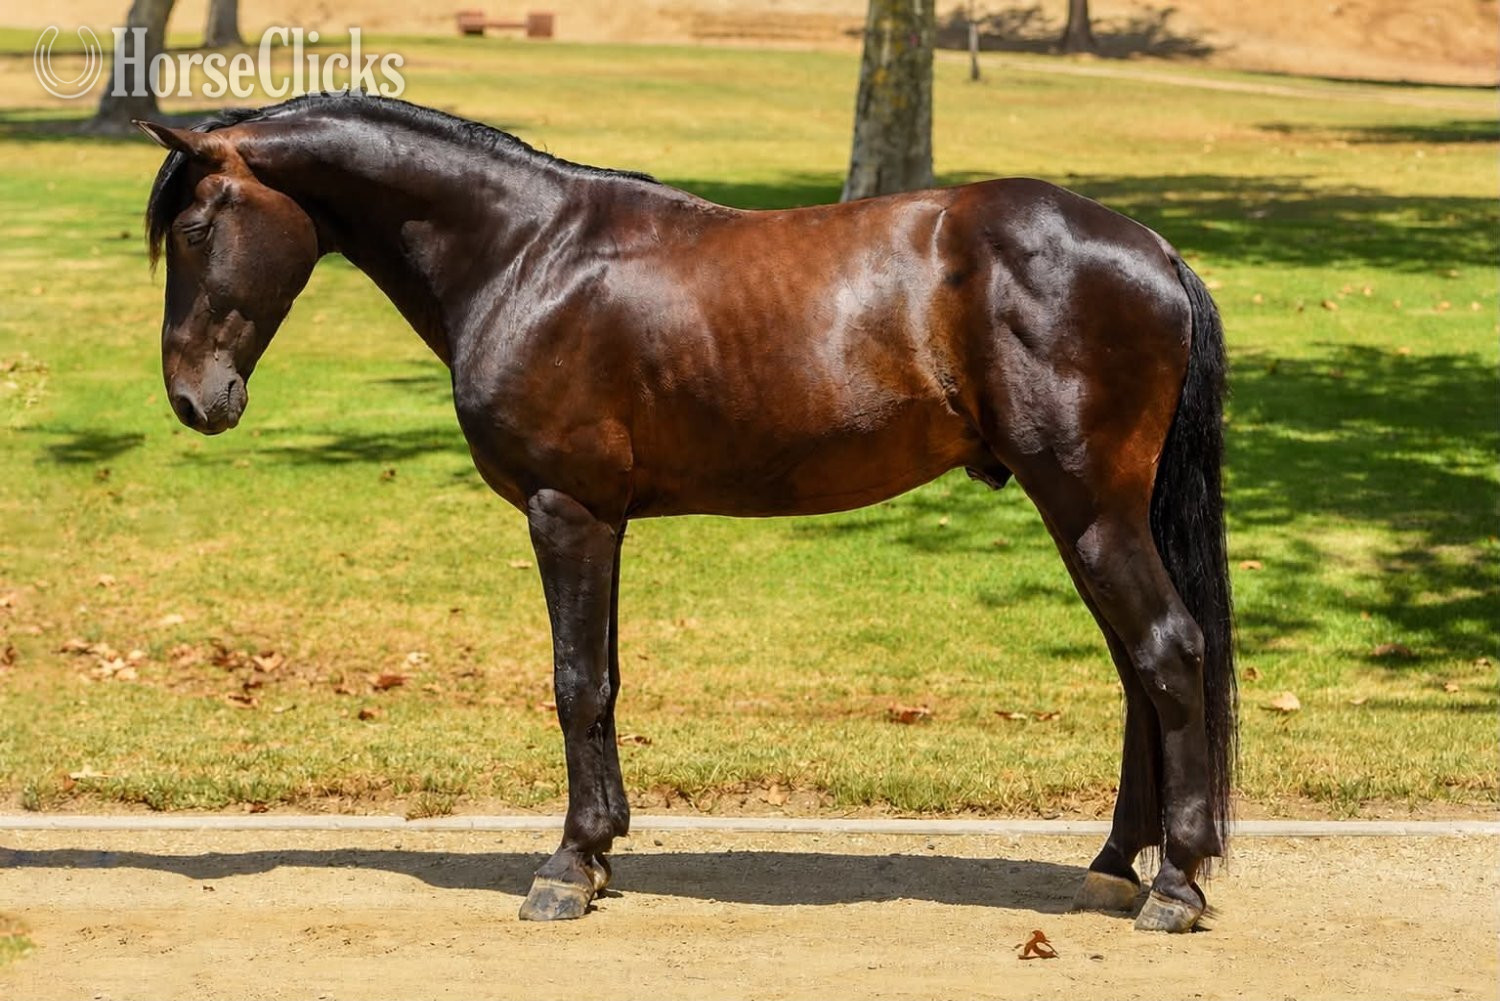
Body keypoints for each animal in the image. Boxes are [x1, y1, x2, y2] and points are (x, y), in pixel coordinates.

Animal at [135, 91, 1235, 933]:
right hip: (1090, 515)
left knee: (1170, 653)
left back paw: (1175, 886)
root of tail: (1154, 249)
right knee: (1139, 673)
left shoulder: (566, 511)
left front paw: (566, 867)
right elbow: (608, 679)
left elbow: (577, 681)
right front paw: (603, 849)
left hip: (1088, 508)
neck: (525, 253)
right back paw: (1116, 863)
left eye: (196, 228)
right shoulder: (603, 520)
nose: (193, 398)